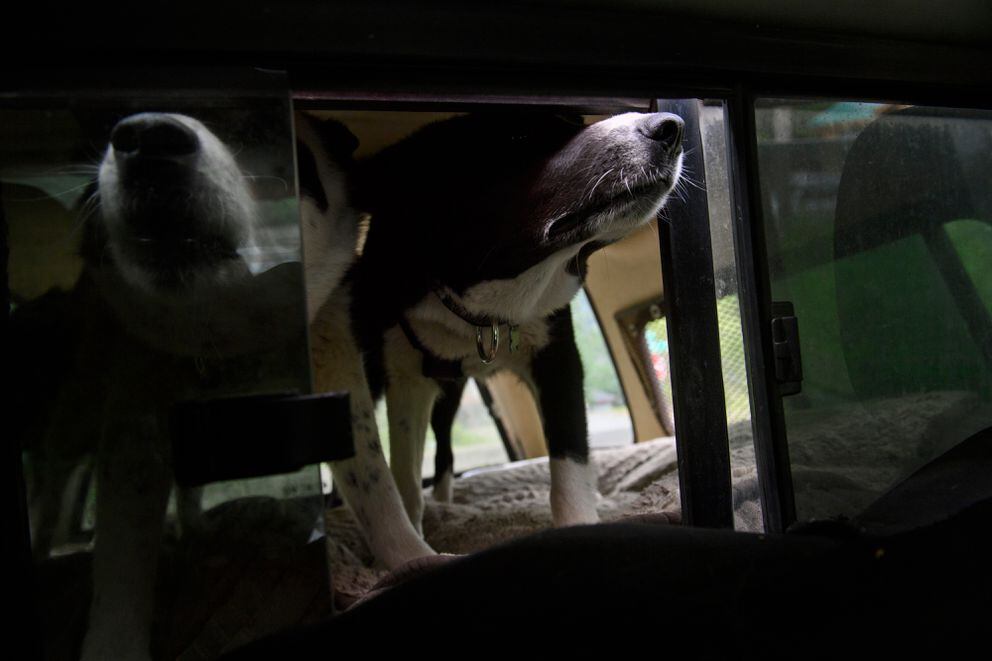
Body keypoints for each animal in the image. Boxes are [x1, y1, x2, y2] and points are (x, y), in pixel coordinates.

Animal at [346, 111, 680, 532]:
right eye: (520, 137)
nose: (671, 128)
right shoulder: (406, 375)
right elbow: (405, 477)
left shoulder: (557, 356)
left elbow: (570, 455)